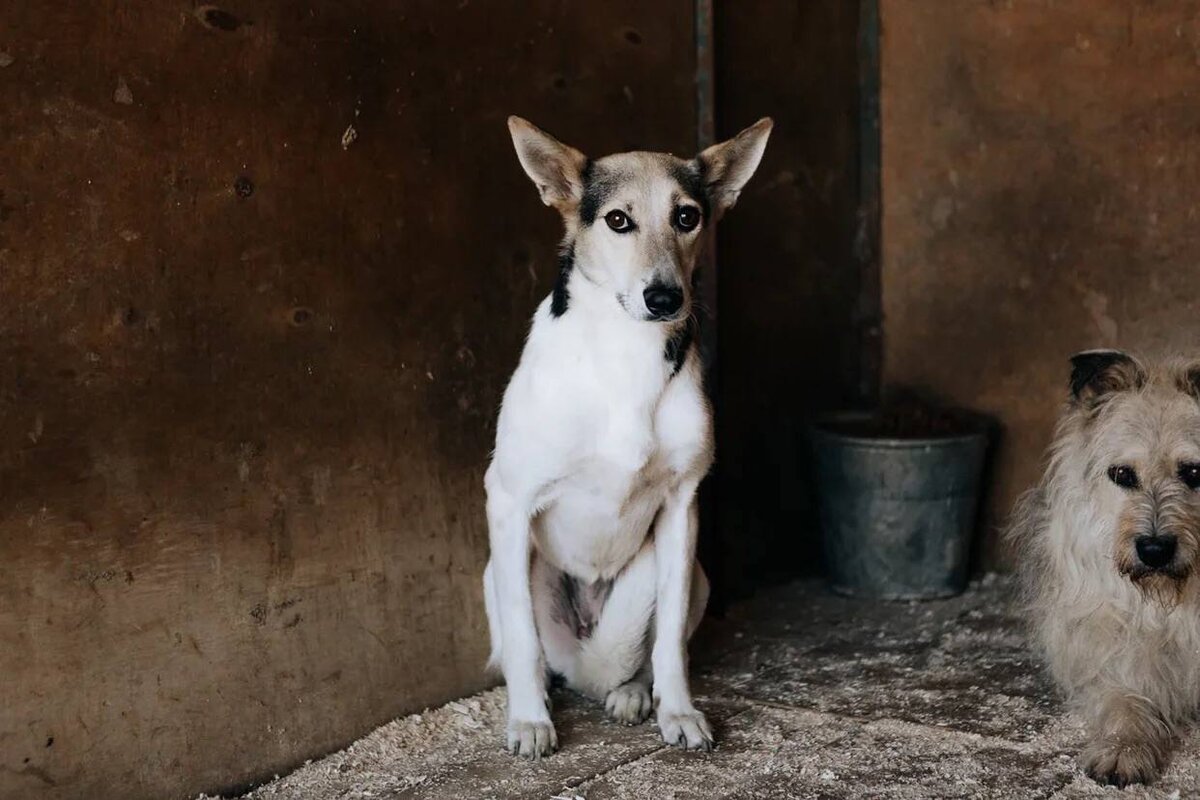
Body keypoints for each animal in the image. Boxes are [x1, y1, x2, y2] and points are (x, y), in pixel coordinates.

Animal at [482, 117, 772, 758]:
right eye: (618, 220)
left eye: (687, 216)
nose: (663, 298)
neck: (625, 354)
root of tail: (589, 664)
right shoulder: (509, 501)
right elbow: (521, 636)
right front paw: (529, 720)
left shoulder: (683, 506)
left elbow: (670, 643)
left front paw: (678, 711)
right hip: (502, 568)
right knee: (528, 650)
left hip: (694, 573)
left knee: (649, 647)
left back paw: (633, 692)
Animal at [1008, 352, 1200, 786]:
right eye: (1122, 474)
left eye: (1195, 472)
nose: (1154, 549)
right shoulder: (1110, 654)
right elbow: (1123, 701)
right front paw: (1123, 748)